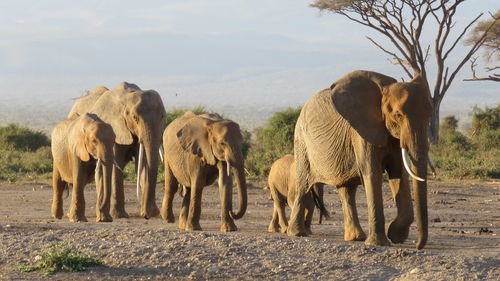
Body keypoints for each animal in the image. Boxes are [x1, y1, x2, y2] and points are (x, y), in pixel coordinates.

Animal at [68, 82, 167, 218]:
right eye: (135, 118)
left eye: (163, 116)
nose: (146, 215)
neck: (128, 98)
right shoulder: (115, 127)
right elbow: (117, 165)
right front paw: (119, 215)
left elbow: (142, 164)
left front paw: (152, 213)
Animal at [290, 70, 434, 249]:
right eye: (398, 115)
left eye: (429, 116)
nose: (418, 246)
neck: (384, 89)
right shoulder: (362, 131)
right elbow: (372, 173)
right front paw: (380, 243)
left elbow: (398, 172)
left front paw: (396, 236)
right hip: (302, 142)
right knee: (303, 185)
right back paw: (296, 233)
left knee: (347, 191)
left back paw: (356, 237)